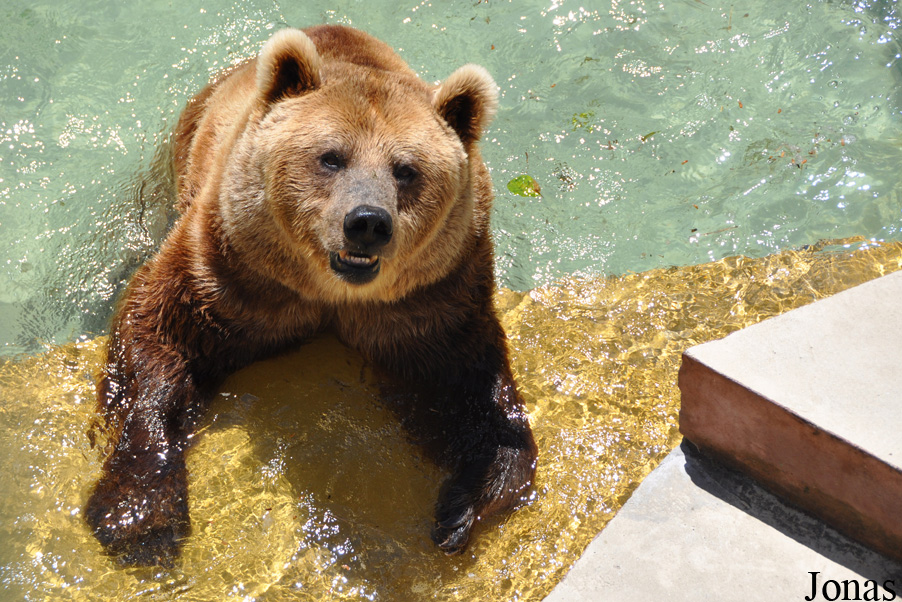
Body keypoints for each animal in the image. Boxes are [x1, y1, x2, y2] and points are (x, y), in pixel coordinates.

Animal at [85, 24, 536, 568]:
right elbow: (158, 338)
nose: (368, 222)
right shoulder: (229, 267)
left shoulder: (431, 295)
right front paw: (139, 516)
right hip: (181, 154)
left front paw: (466, 503)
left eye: (405, 169)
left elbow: (464, 383)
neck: (329, 293)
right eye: (332, 156)